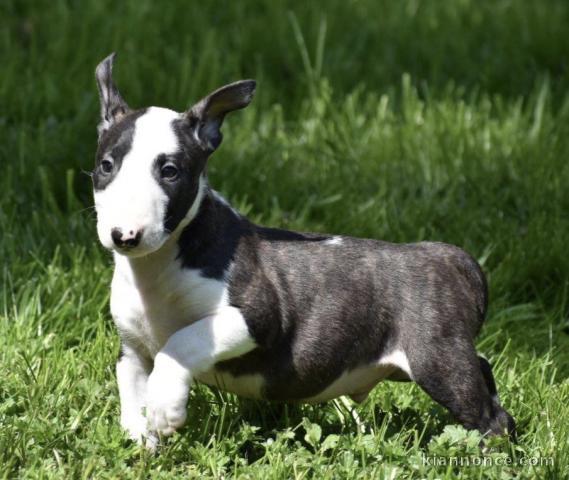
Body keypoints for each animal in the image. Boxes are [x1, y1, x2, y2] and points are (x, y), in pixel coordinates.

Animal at [92, 54, 516, 448]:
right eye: (106, 166)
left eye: (170, 171)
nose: (125, 236)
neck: (158, 266)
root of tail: (450, 256)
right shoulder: (133, 349)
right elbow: (131, 388)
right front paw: (142, 442)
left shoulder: (257, 317)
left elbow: (181, 342)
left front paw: (165, 409)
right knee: (484, 374)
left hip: (435, 356)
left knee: (488, 416)